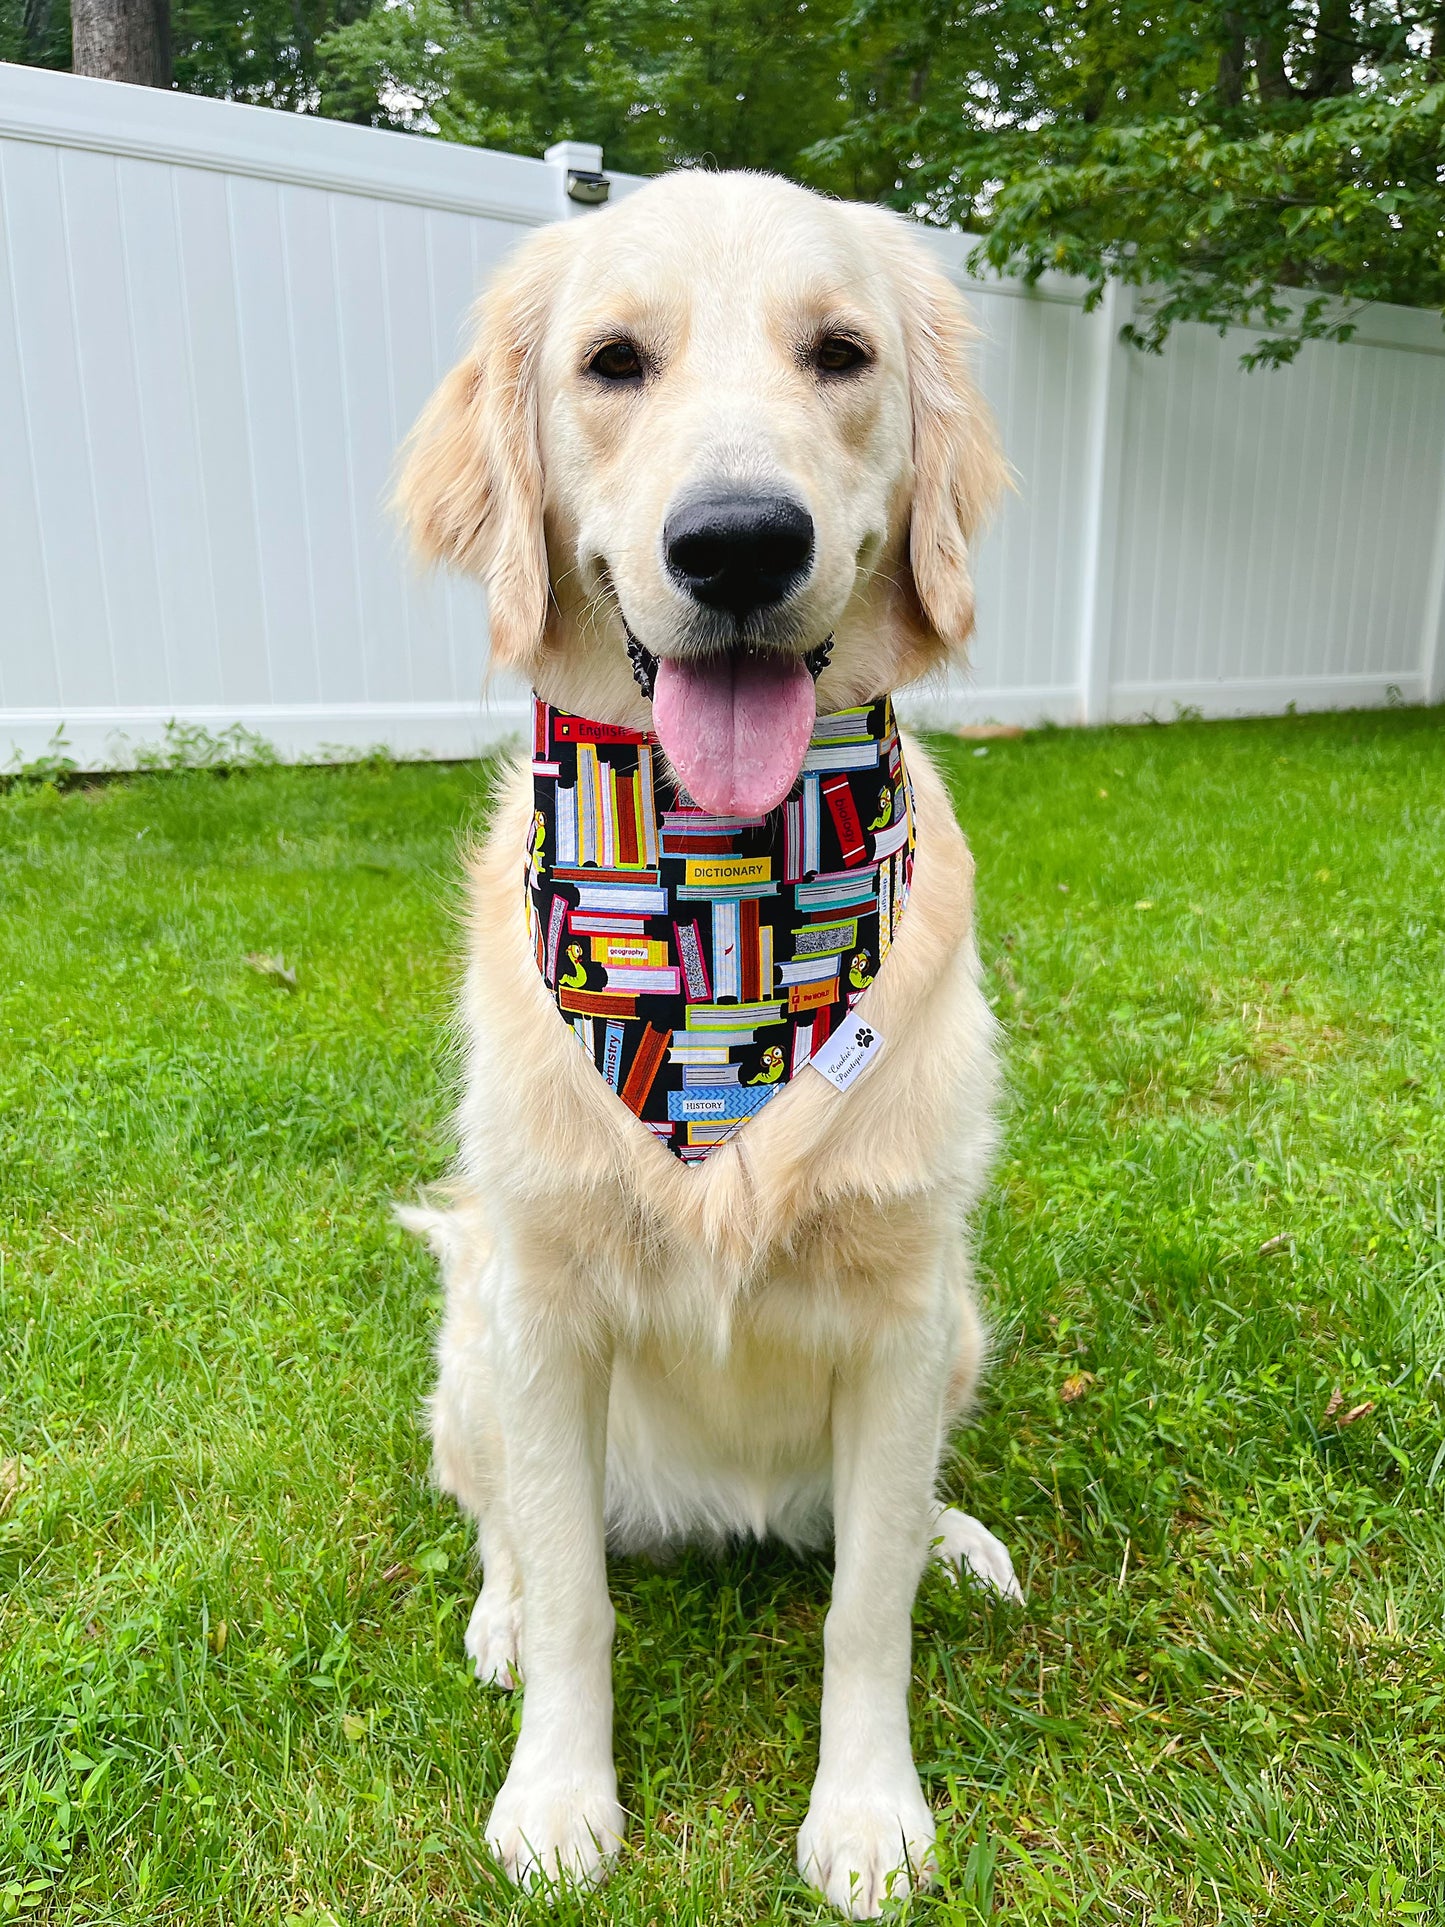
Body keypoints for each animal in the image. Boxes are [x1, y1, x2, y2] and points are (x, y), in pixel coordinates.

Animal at [398, 165, 1017, 1911]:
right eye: (614, 362)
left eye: (841, 353)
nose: (740, 542)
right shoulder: (543, 1310)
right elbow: (574, 1595)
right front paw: (557, 1794)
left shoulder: (902, 1314)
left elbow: (866, 1608)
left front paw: (867, 1811)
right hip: (471, 1342)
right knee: (502, 1525)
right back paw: (495, 1613)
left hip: (961, 1329)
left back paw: (959, 1537)